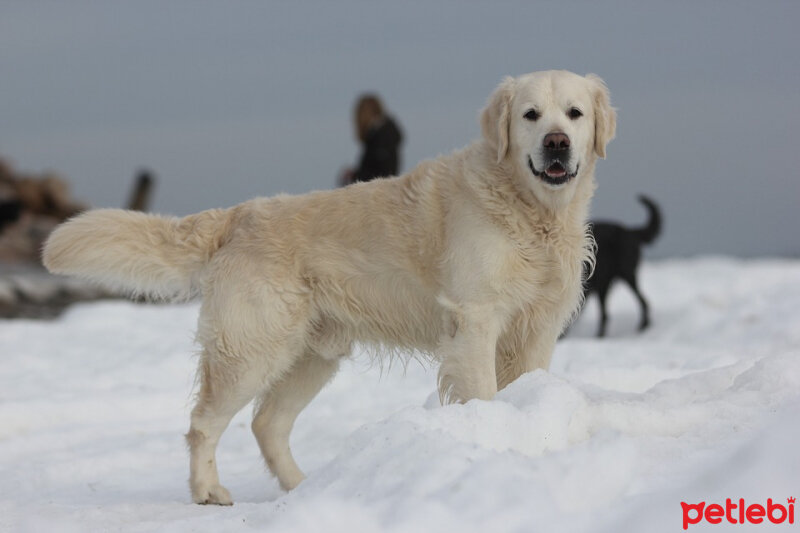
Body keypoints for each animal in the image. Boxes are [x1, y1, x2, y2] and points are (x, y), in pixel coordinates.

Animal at [43, 70, 616, 502]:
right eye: (530, 115)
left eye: (574, 114)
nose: (557, 144)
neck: (530, 212)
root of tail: (237, 215)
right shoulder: (474, 320)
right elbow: (484, 394)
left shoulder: (537, 326)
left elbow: (527, 384)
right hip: (250, 350)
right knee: (204, 421)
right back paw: (208, 491)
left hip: (311, 355)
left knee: (267, 424)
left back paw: (302, 487)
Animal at [580, 195, 664, 336]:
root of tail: (631, 231)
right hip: (606, 284)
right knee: (607, 314)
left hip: (625, 275)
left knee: (642, 302)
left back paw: (641, 327)